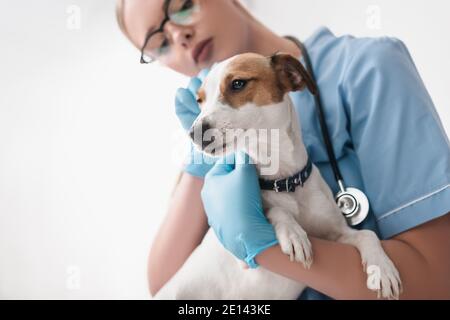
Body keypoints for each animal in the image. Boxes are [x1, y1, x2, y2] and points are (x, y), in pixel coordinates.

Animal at [154, 52, 400, 300]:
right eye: (200, 100)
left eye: (238, 83)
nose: (193, 133)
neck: (285, 181)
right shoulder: (242, 254)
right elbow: (274, 210)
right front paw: (293, 233)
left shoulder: (337, 233)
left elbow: (367, 234)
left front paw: (382, 268)